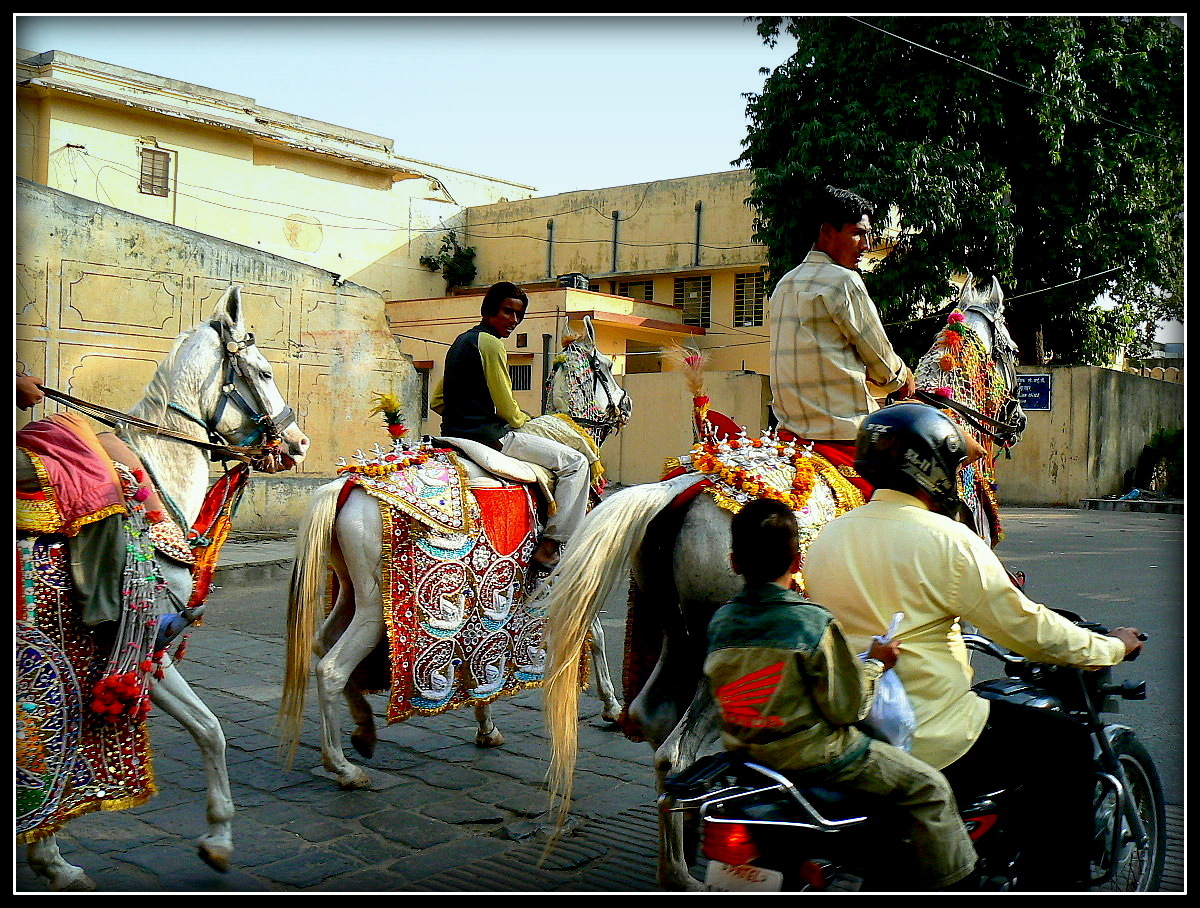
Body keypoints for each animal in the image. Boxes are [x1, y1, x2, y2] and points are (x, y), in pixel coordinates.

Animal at [277, 316, 633, 786]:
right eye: (606, 368)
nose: (627, 403)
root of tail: (349, 485)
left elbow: (491, 655)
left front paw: (486, 723)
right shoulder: (570, 574)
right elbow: (595, 634)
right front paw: (612, 707)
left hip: (351, 592)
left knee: (321, 643)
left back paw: (364, 729)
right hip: (374, 607)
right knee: (331, 668)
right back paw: (344, 766)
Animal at [542, 274, 1022, 887]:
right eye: (1011, 349)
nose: (1018, 418)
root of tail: (685, 487)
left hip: (677, 633)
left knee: (652, 722)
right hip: (721, 650)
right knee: (675, 751)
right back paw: (684, 872)